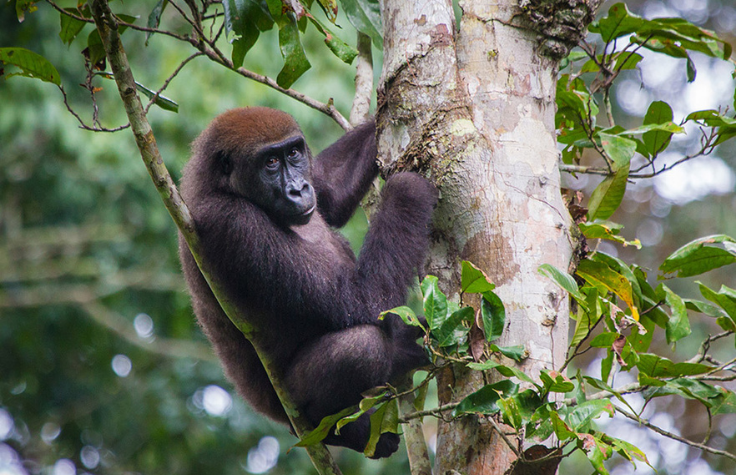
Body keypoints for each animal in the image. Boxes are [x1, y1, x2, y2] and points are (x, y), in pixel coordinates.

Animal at [178, 107, 436, 458]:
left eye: (293, 153)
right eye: (270, 162)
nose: (299, 189)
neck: (219, 185)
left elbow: (329, 189)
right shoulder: (233, 222)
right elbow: (360, 299)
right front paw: (407, 190)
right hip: (290, 408)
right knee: (362, 348)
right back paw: (341, 427)